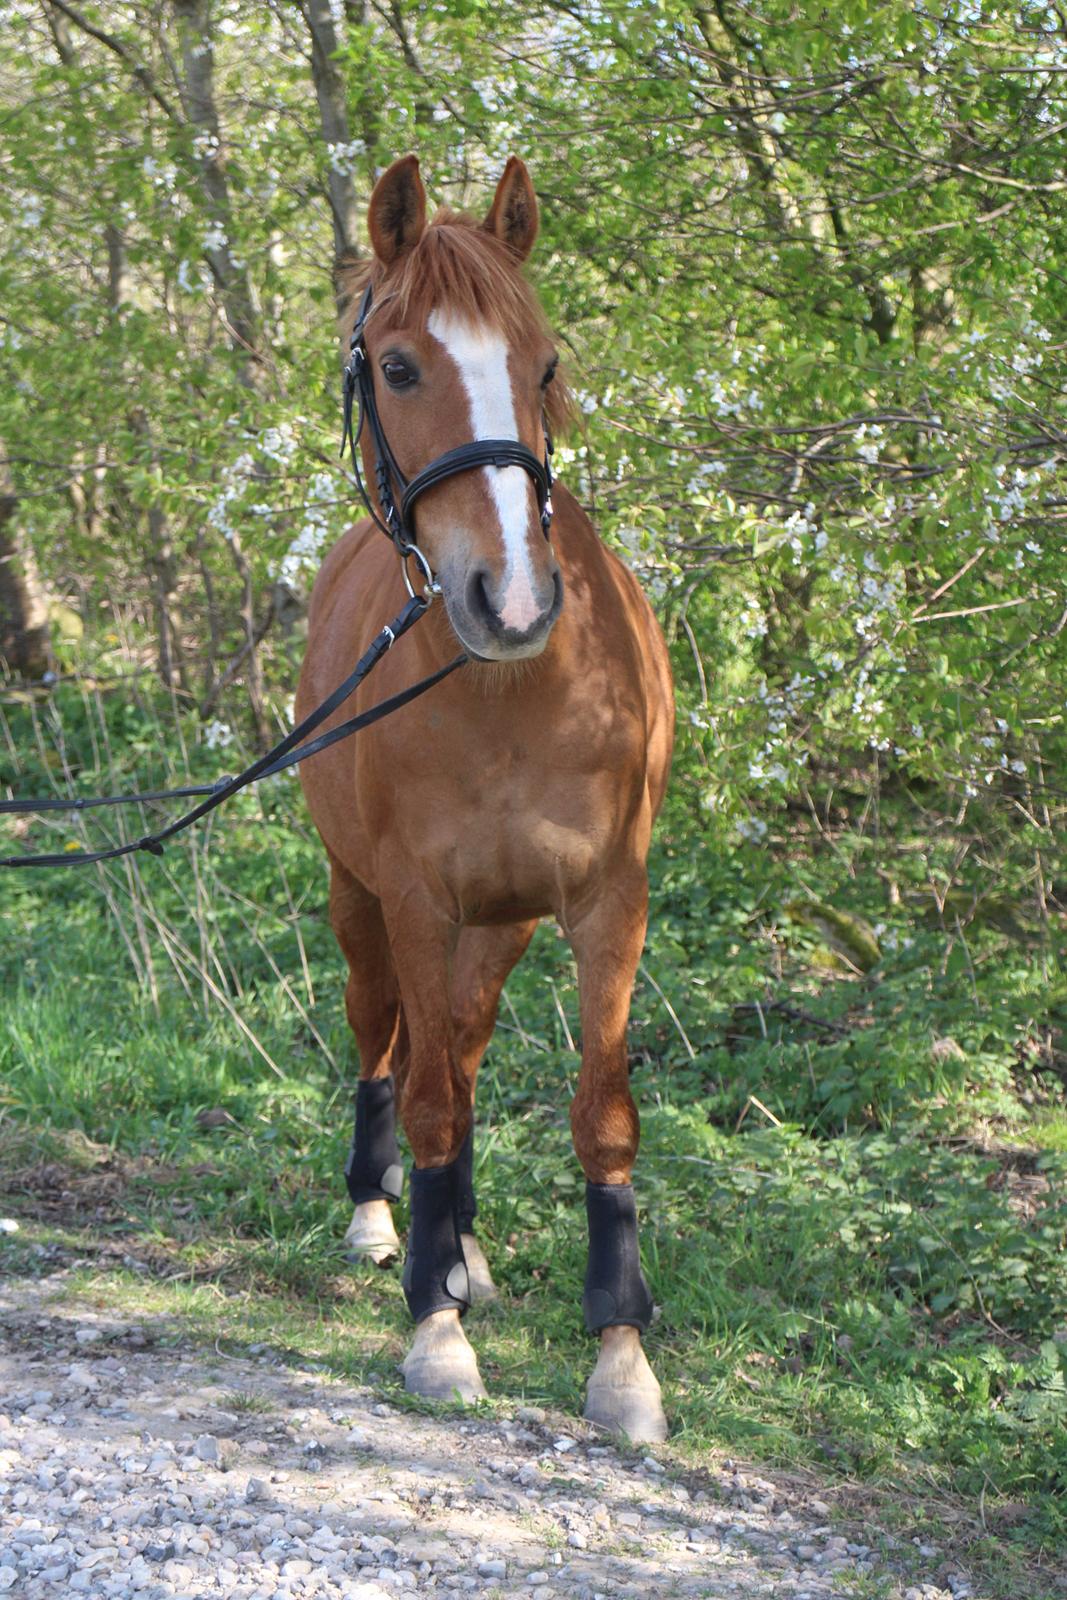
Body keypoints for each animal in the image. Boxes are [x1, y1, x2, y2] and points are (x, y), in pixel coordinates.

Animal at [295, 156, 671, 1446]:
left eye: (543, 362)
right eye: (399, 366)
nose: (508, 598)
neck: (513, 689)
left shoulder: (605, 903)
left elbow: (600, 1113)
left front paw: (620, 1355)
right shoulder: (414, 901)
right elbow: (429, 1107)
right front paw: (436, 1328)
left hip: (498, 927)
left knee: (454, 1040)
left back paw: (463, 1246)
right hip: (362, 902)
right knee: (388, 1044)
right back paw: (388, 1226)